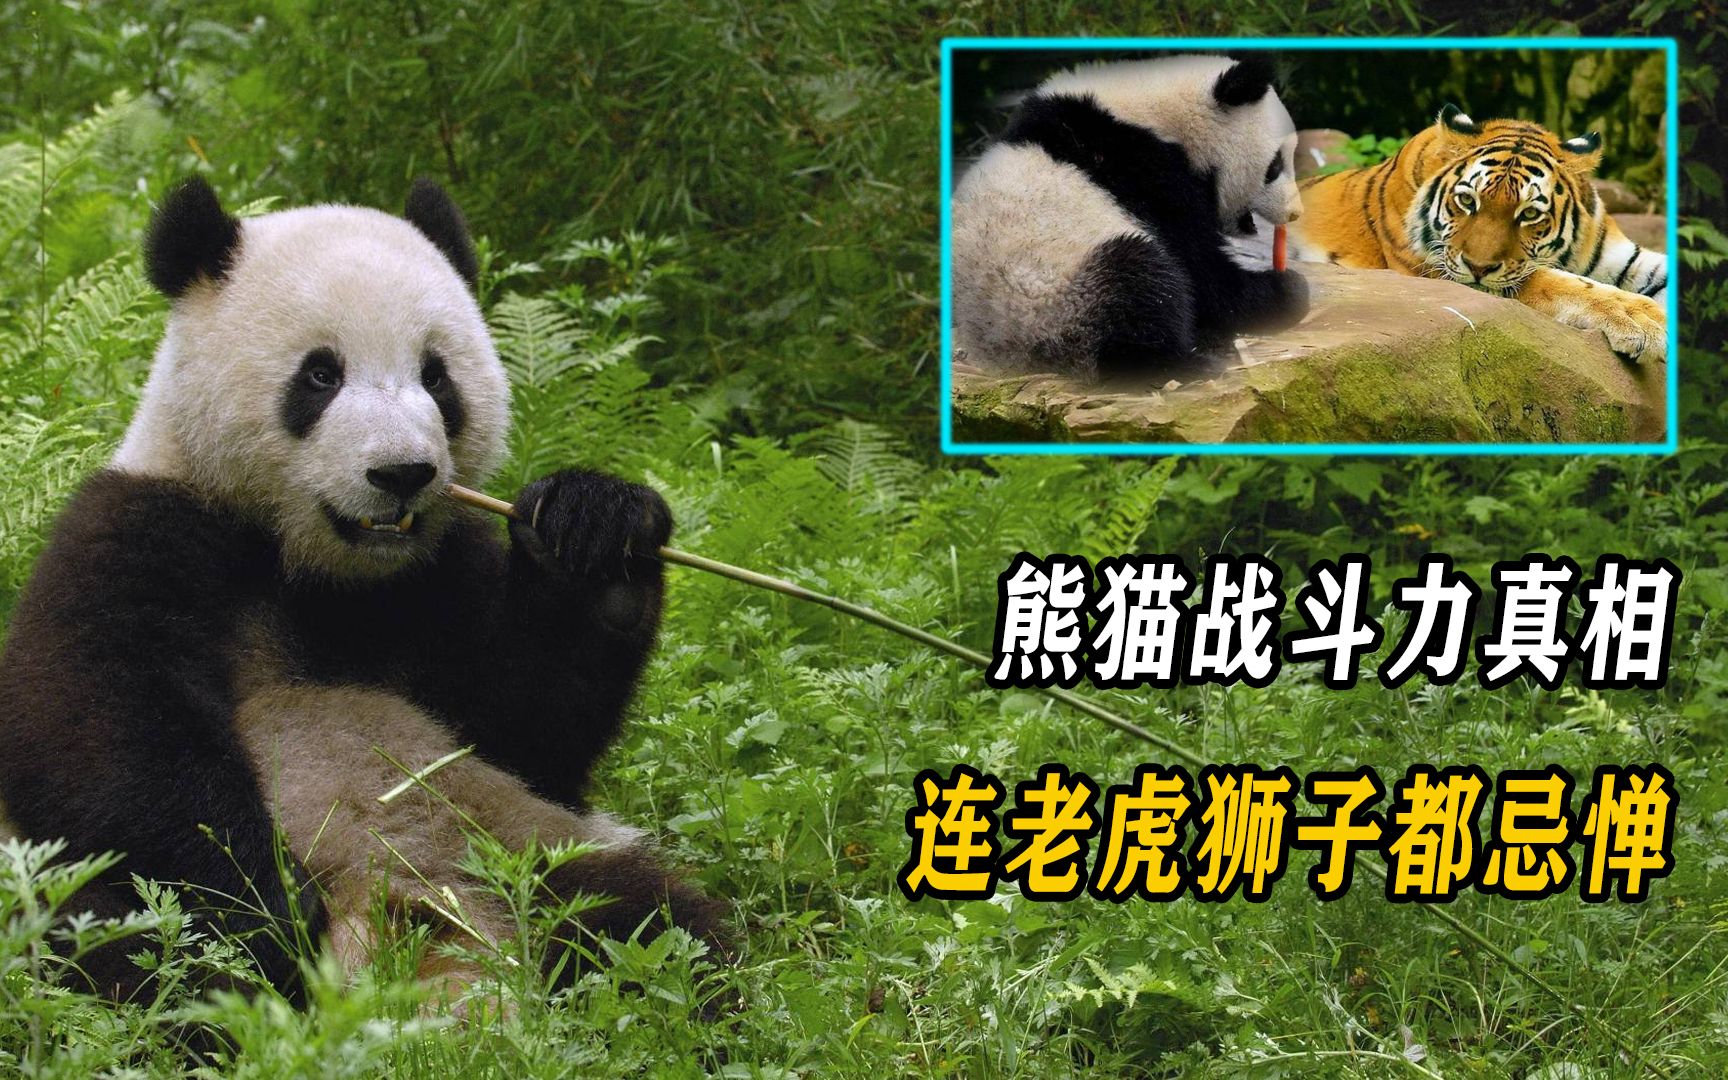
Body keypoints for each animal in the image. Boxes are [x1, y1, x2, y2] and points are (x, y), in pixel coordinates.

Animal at [1290, 106, 1667, 362]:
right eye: (1467, 201)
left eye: (1529, 213)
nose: (1478, 267)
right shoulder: (1436, 270)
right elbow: (1557, 282)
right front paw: (1643, 321)